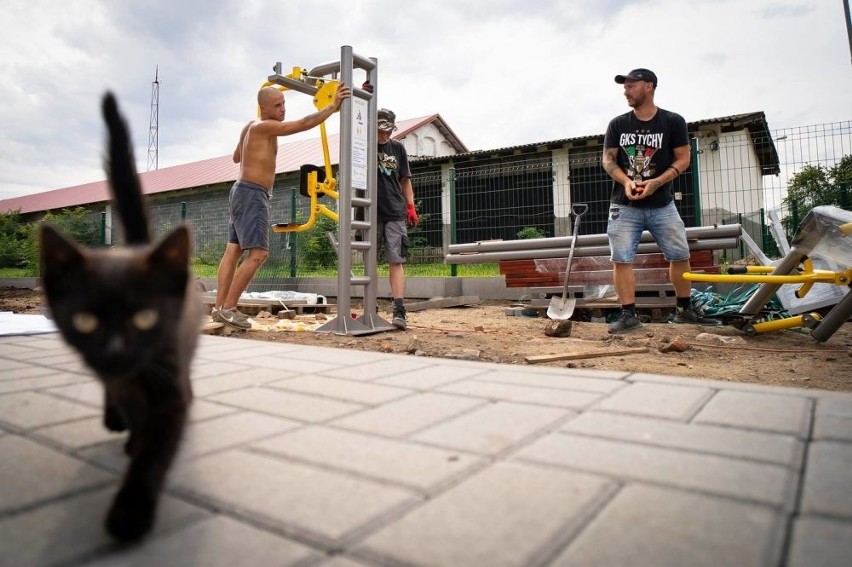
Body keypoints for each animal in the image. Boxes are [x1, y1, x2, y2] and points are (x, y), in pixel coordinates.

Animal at [39, 91, 201, 544]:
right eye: (85, 321)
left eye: (145, 317)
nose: (114, 351)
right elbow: (131, 407)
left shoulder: (171, 381)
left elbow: (155, 448)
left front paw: (130, 514)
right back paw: (115, 419)